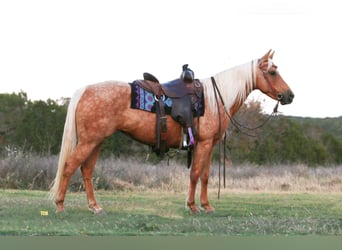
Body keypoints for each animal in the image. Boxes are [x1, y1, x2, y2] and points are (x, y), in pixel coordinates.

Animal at [50, 49, 294, 214]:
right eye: (273, 72)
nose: (290, 96)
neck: (215, 98)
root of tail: (86, 90)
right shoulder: (204, 143)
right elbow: (195, 174)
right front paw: (192, 206)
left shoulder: (209, 145)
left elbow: (205, 175)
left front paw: (207, 206)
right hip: (89, 141)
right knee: (70, 166)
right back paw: (60, 205)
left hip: (96, 141)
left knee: (87, 170)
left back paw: (95, 207)